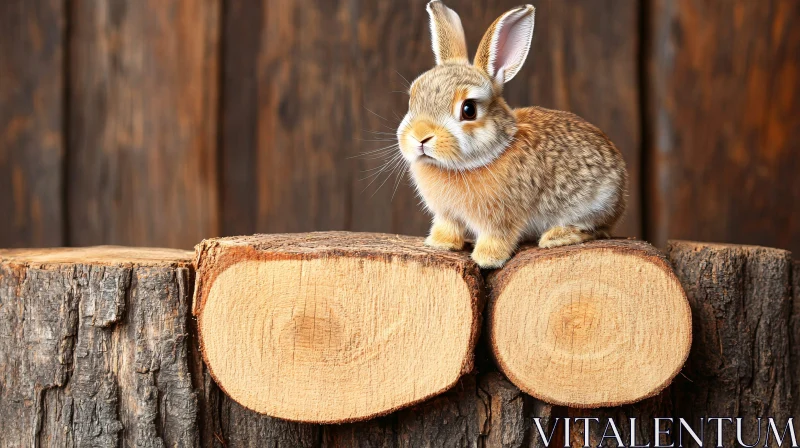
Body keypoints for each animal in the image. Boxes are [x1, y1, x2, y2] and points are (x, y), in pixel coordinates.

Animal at [396, 0, 628, 270]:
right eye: (412, 100)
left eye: (468, 110)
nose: (420, 137)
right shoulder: (446, 215)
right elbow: (448, 228)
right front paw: (439, 244)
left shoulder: (502, 220)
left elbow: (498, 238)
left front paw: (486, 259)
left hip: (596, 204)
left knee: (596, 229)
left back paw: (556, 237)